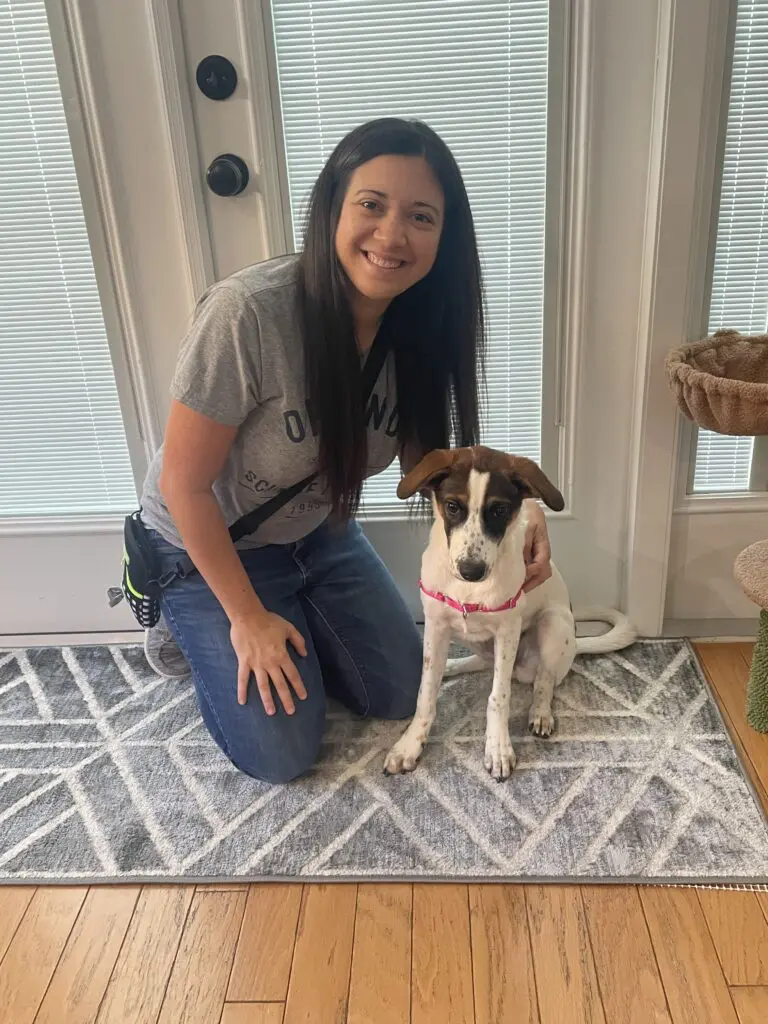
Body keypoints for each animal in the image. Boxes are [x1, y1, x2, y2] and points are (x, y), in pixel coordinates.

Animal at [382, 444, 638, 778]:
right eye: (452, 506)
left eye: (499, 511)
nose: (471, 571)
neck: (469, 591)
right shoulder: (436, 625)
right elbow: (426, 693)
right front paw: (410, 744)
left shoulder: (507, 631)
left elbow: (498, 696)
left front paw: (498, 748)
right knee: (480, 662)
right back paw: (451, 666)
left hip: (554, 625)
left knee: (544, 680)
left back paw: (540, 713)